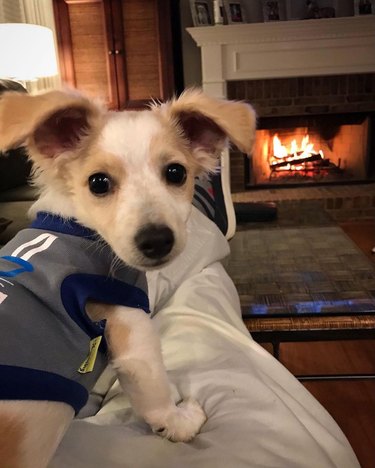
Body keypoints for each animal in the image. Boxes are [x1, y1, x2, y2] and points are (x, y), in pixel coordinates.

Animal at [0, 88, 258, 468]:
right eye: (98, 182)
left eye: (176, 173)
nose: (157, 240)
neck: (81, 227)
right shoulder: (131, 326)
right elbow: (155, 396)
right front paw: (181, 422)